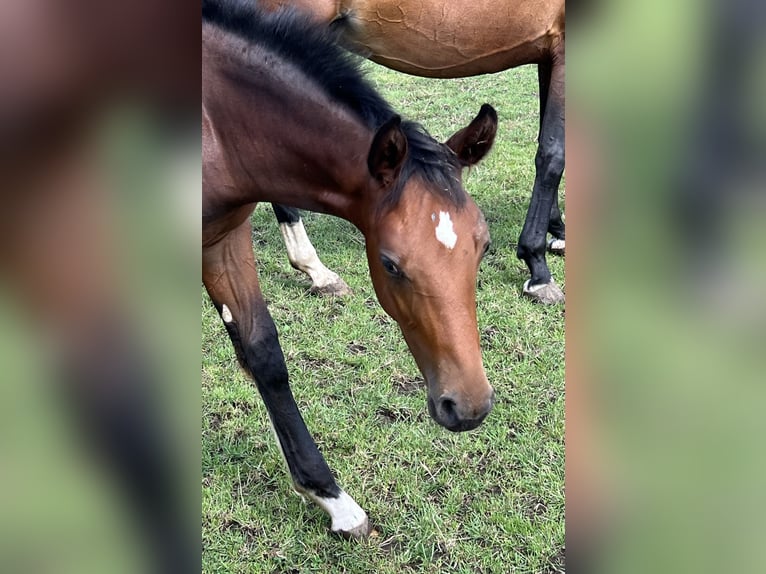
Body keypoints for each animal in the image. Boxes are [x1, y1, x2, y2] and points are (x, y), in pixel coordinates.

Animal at [202, 1, 498, 540]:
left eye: (483, 247)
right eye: (390, 263)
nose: (468, 407)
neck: (216, 123)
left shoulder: (222, 237)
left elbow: (263, 353)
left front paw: (331, 498)